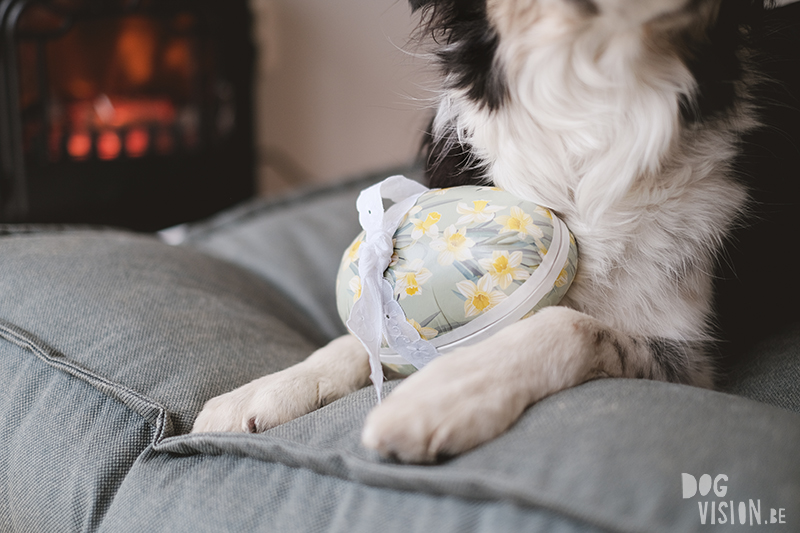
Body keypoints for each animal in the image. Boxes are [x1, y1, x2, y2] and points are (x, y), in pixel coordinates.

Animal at [191, 1, 796, 462]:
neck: (592, 103)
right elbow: (355, 339)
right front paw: (266, 390)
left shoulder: (690, 357)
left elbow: (567, 325)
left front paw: (440, 395)